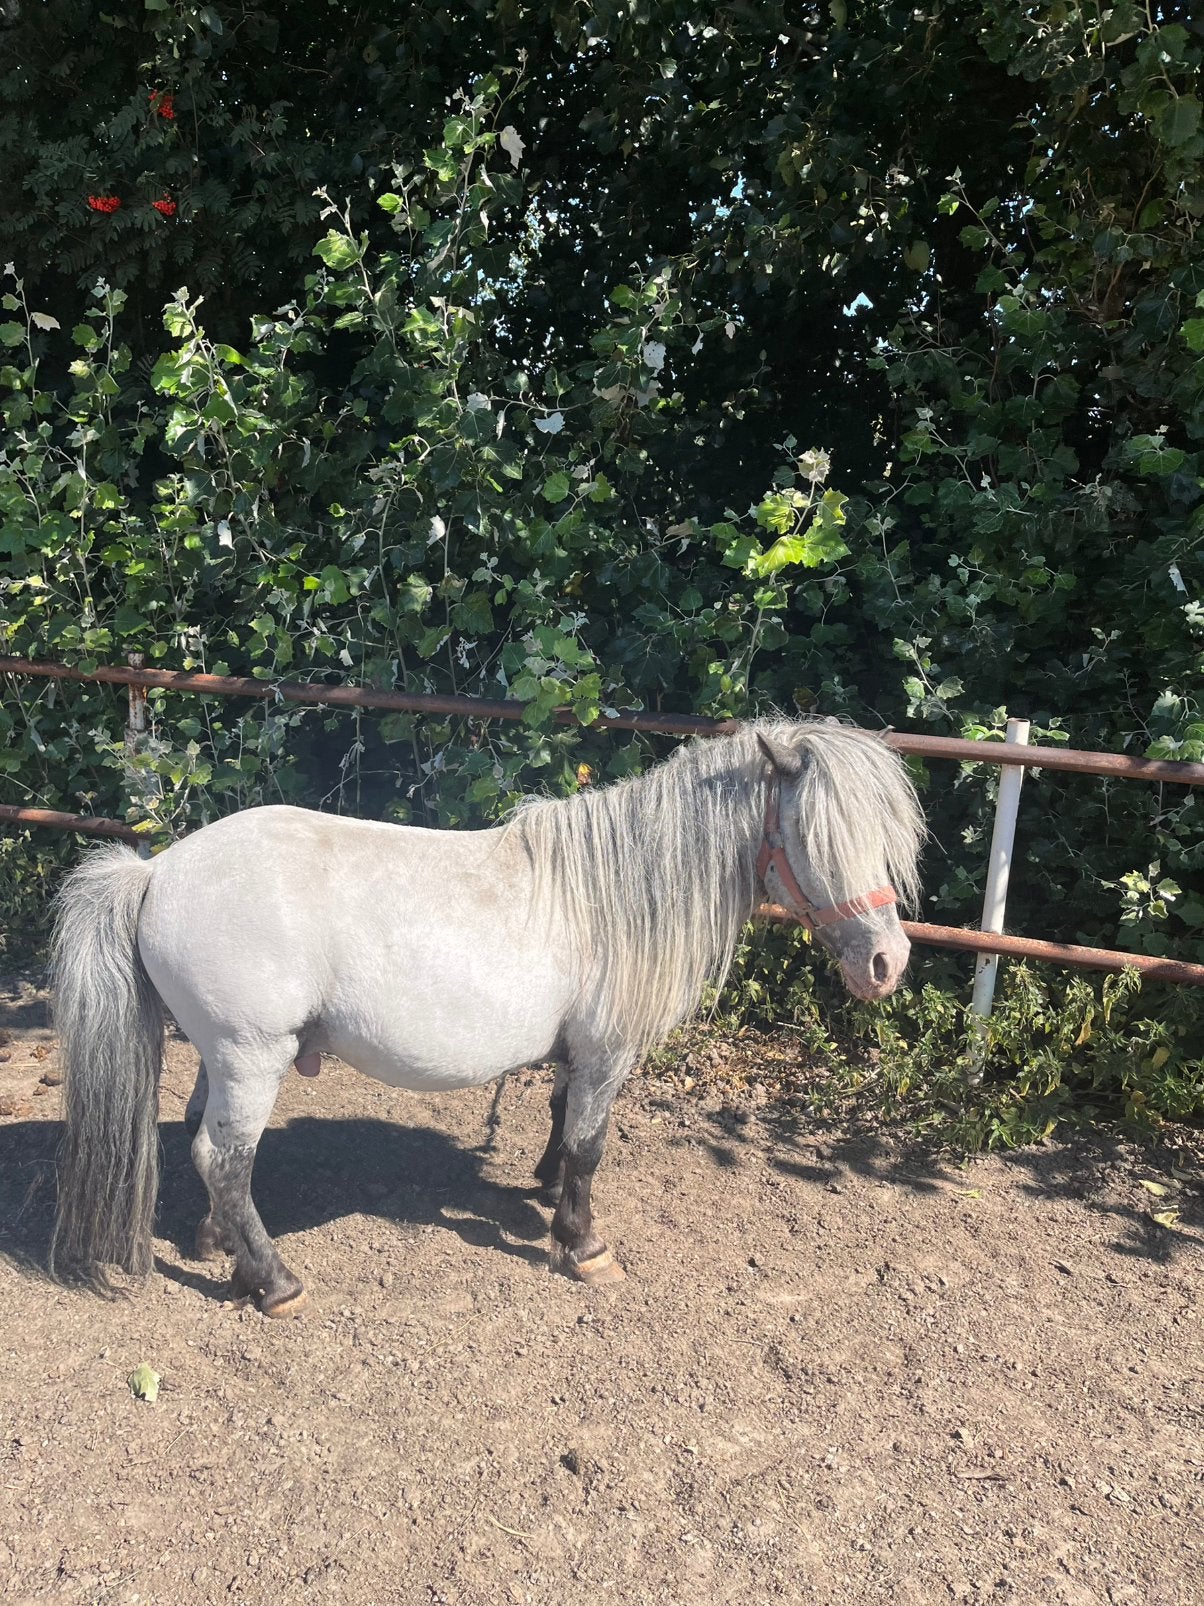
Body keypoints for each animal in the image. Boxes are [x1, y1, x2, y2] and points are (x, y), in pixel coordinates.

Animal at [48, 718, 924, 1315]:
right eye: (815, 834)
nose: (888, 963)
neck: (616, 892)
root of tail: (156, 872)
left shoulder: (578, 1052)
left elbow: (562, 1117)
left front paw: (544, 1195)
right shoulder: (607, 1051)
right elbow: (591, 1144)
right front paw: (583, 1244)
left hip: (218, 1054)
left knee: (206, 1147)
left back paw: (218, 1245)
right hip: (252, 1055)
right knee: (223, 1159)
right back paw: (274, 1282)